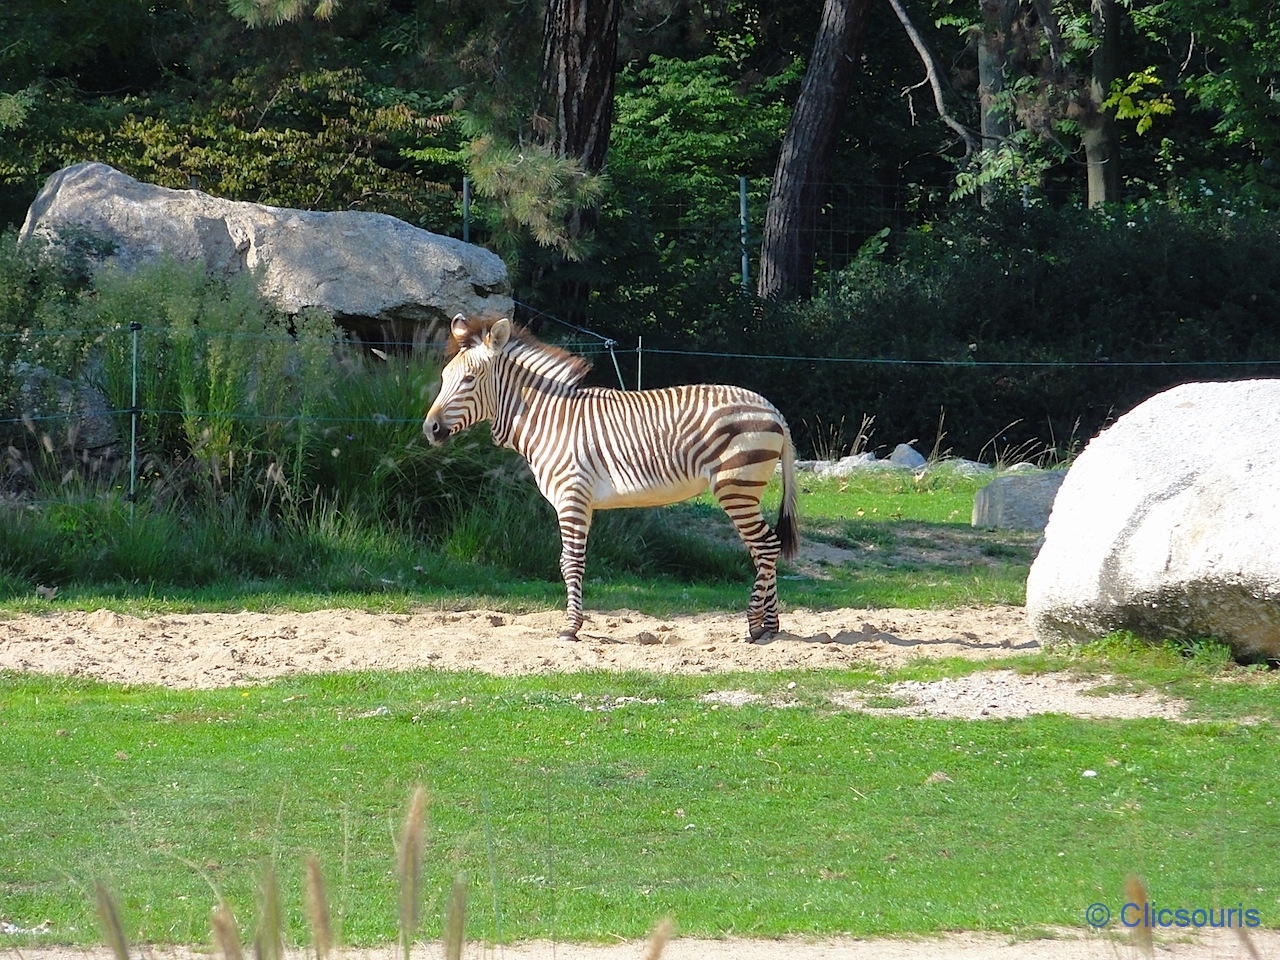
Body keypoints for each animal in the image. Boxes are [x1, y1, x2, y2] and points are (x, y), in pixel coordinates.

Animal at [424, 316, 793, 642]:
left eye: (469, 379)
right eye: (443, 377)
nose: (430, 429)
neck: (549, 420)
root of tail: (772, 409)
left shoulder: (571, 496)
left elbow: (572, 562)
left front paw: (571, 628)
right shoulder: (579, 501)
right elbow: (566, 562)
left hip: (736, 488)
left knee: (767, 546)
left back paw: (754, 625)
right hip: (743, 492)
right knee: (763, 550)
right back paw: (770, 626)